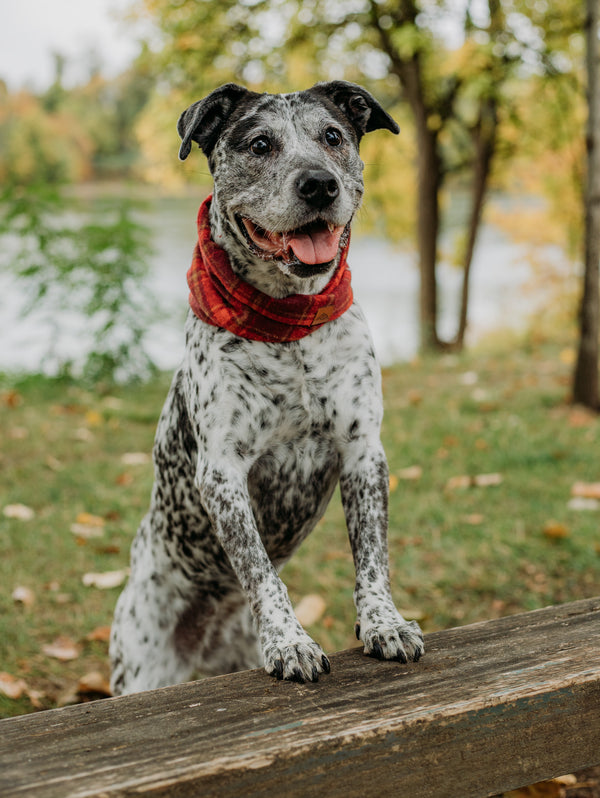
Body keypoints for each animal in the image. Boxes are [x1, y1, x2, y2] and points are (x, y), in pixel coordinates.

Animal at [109, 81, 426, 692]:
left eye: (333, 136)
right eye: (260, 144)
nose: (319, 184)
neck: (289, 325)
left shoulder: (363, 453)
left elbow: (373, 557)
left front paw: (385, 624)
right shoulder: (222, 472)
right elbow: (259, 569)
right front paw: (290, 640)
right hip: (139, 663)